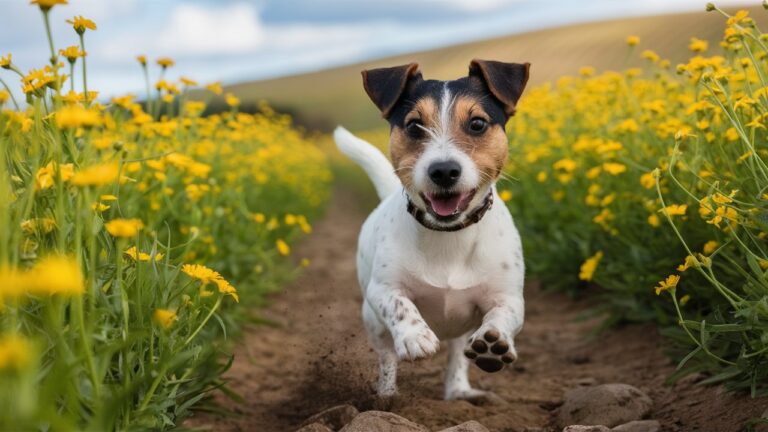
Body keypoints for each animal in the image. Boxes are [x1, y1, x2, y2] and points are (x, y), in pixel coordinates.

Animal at [332, 59, 532, 400]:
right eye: (414, 126)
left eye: (477, 124)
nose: (444, 171)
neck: (448, 235)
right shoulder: (382, 289)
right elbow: (400, 304)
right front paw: (415, 337)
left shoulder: (508, 297)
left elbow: (502, 315)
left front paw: (493, 342)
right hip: (373, 323)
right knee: (386, 357)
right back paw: (386, 397)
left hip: (461, 330)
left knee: (457, 355)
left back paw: (459, 391)